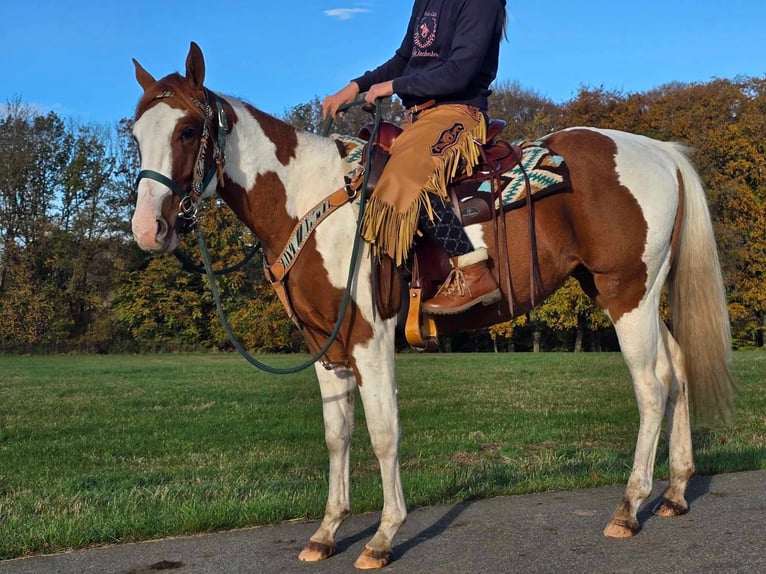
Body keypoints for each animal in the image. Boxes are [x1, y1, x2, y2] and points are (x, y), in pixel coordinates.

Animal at [129, 41, 736, 572]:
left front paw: (382, 537)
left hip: (626, 292)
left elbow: (383, 431)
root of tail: (660, 151)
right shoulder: (325, 344)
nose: (147, 229)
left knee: (652, 385)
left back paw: (630, 507)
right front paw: (326, 532)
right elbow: (337, 435)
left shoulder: (370, 337)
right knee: (678, 371)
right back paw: (677, 492)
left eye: (187, 130)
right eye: (135, 134)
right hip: (636, 294)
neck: (308, 198)